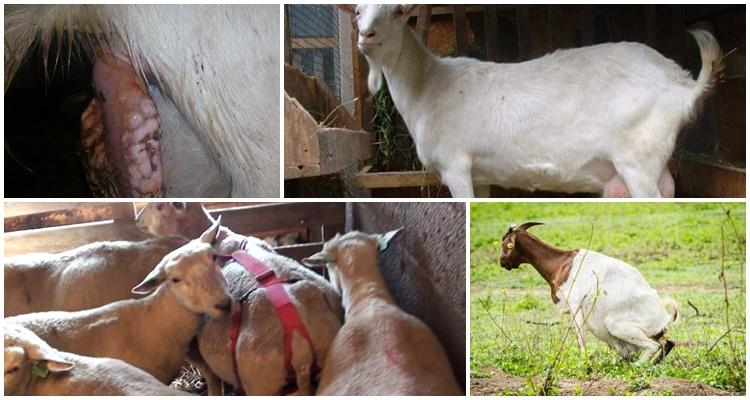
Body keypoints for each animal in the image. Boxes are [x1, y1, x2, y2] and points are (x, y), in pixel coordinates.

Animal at [339, 5, 722, 198]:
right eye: (357, 11)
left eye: (399, 11)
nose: (366, 36)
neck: (430, 84)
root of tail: (682, 83)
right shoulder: (480, 174)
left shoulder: (456, 165)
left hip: (638, 160)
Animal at [499, 222, 679, 364]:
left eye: (506, 244)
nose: (502, 261)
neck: (561, 263)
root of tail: (664, 318)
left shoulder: (575, 307)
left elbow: (581, 338)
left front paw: (585, 363)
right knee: (667, 342)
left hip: (615, 325)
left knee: (653, 345)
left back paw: (635, 365)